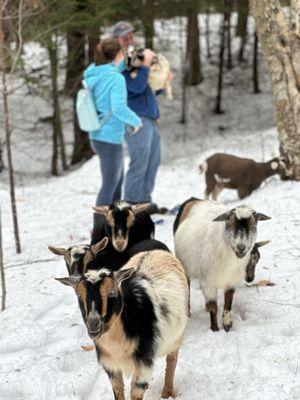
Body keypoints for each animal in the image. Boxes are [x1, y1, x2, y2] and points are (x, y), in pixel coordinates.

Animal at [55, 250, 188, 400]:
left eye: (112, 293)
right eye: (79, 296)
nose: (93, 324)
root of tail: (156, 251)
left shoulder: (143, 365)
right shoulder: (111, 366)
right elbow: (118, 391)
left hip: (177, 336)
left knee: (172, 360)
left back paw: (167, 393)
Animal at [173, 198, 270, 332]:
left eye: (254, 225)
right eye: (229, 224)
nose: (241, 247)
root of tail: (194, 200)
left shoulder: (230, 281)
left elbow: (228, 304)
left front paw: (227, 325)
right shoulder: (208, 283)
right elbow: (213, 307)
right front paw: (215, 330)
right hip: (184, 267)